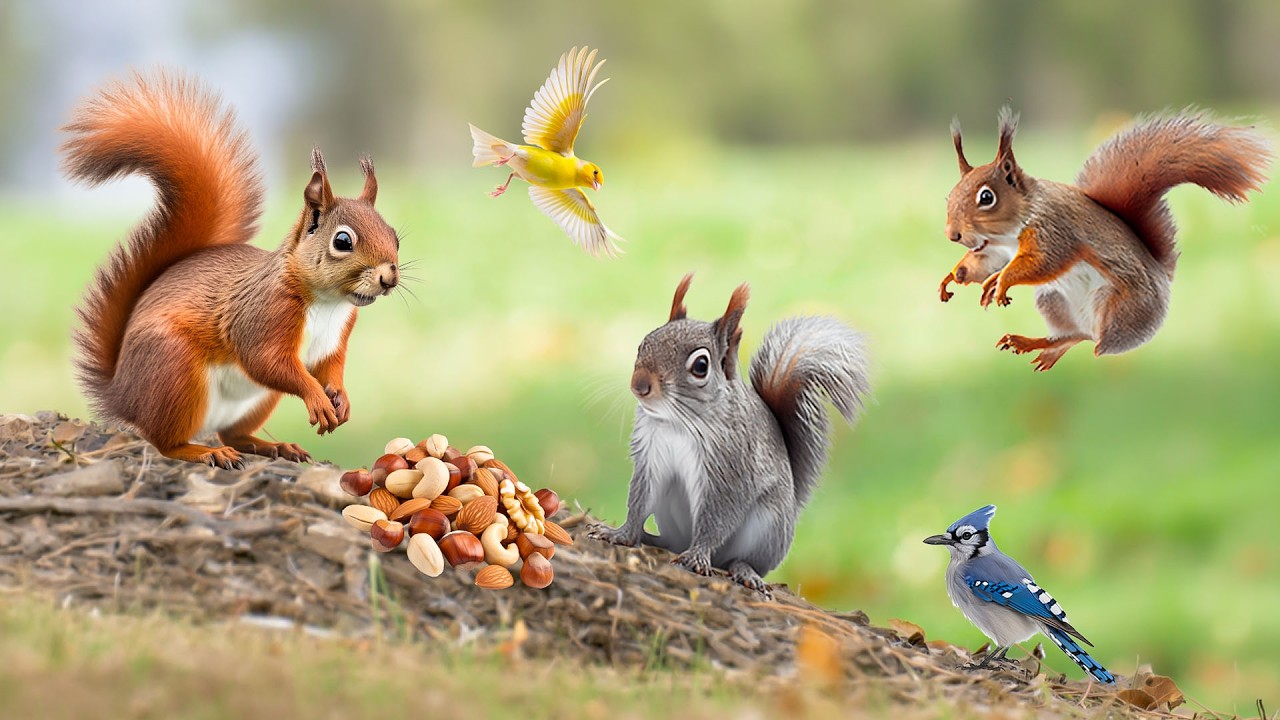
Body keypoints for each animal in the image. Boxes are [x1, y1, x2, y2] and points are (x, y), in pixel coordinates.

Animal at [62, 72, 401, 469]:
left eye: (394, 235)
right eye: (343, 241)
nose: (389, 278)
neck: (328, 303)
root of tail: (122, 394)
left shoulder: (335, 338)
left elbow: (330, 367)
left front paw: (340, 397)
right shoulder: (263, 315)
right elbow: (267, 362)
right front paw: (316, 398)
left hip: (256, 400)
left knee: (234, 433)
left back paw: (274, 446)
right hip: (175, 373)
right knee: (165, 442)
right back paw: (204, 451)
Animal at [590, 274, 871, 596]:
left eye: (701, 366)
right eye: (642, 344)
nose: (639, 385)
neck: (677, 423)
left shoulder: (732, 468)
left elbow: (718, 516)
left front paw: (697, 556)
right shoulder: (651, 455)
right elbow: (639, 499)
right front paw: (622, 534)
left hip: (767, 527)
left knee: (740, 559)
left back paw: (743, 570)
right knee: (673, 542)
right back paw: (653, 539)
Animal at [940, 107, 1272, 371]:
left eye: (986, 197)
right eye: (950, 194)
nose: (953, 234)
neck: (1011, 229)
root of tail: (1163, 277)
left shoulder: (1054, 230)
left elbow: (1044, 261)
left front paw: (999, 281)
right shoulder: (996, 248)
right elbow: (985, 261)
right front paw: (955, 276)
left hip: (1115, 305)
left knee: (1096, 340)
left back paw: (1092, 351)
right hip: (1052, 300)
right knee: (1073, 335)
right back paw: (1035, 344)